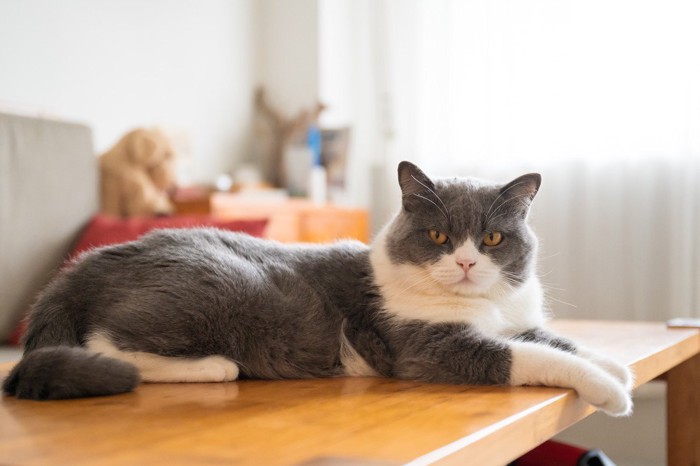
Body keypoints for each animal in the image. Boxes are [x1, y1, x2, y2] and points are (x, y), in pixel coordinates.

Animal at [1, 162, 636, 416]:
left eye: (493, 237)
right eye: (437, 235)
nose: (463, 262)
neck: (482, 306)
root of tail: (82, 267)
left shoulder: (517, 318)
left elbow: (556, 339)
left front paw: (613, 363)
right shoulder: (429, 345)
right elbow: (526, 356)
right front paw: (609, 389)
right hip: (223, 284)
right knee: (108, 344)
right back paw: (213, 366)